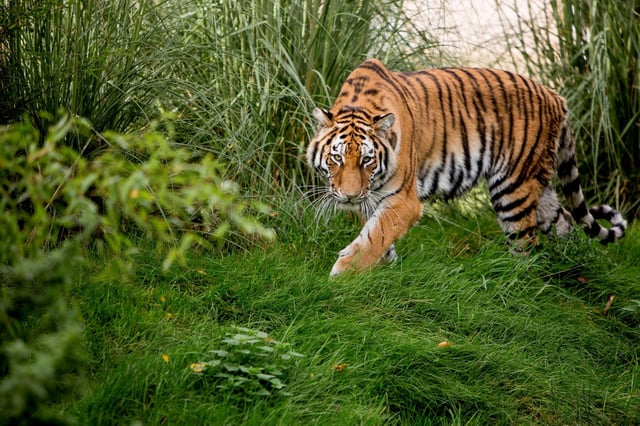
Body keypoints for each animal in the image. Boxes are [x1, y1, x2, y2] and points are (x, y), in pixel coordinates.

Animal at [306, 58, 627, 276]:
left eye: (367, 160)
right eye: (337, 158)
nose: (349, 196)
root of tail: (557, 97)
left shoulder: (404, 201)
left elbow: (376, 235)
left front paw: (342, 275)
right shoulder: (370, 198)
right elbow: (375, 235)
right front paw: (385, 267)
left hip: (513, 188)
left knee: (526, 244)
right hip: (539, 183)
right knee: (564, 221)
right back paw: (572, 266)